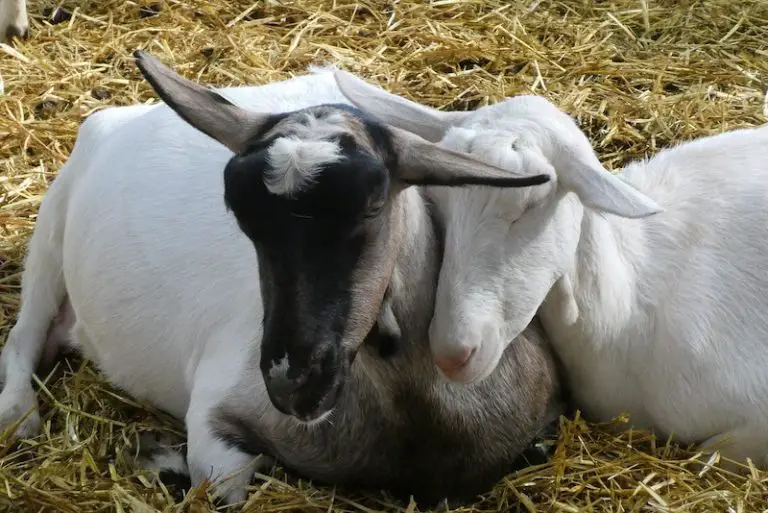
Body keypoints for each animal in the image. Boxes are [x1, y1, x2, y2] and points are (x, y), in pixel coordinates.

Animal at [0, 53, 562, 505]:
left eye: (373, 205)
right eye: (239, 211)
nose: (292, 382)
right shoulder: (215, 420)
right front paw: (160, 457)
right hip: (52, 227)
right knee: (22, 336)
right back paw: (19, 415)